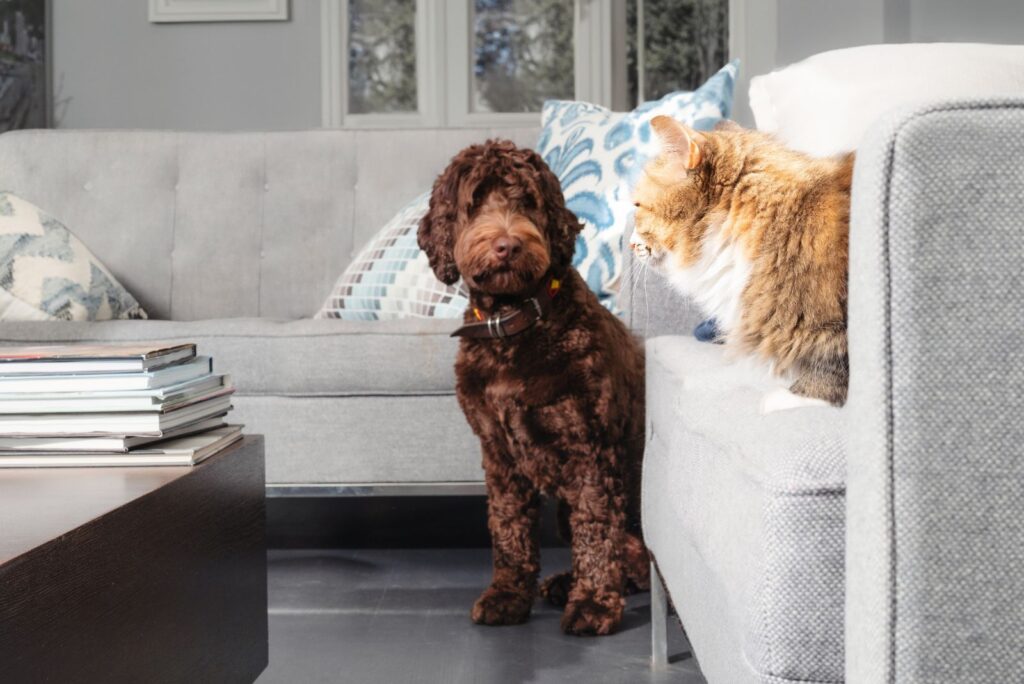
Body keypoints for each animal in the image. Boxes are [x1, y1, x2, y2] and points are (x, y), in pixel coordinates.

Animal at [415, 139, 647, 634]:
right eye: (475, 202)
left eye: (526, 201)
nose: (507, 245)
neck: (514, 326)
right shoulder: (498, 452)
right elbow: (508, 528)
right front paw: (507, 596)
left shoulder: (590, 448)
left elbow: (597, 526)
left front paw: (594, 604)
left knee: (630, 558)